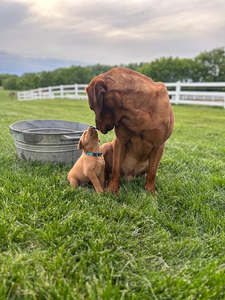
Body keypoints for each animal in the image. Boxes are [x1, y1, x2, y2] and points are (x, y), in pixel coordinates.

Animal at [85, 67, 175, 195]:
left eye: (92, 107)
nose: (96, 126)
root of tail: (129, 176)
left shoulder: (159, 146)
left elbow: (152, 173)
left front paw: (151, 192)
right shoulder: (120, 142)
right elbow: (116, 170)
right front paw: (112, 189)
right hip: (107, 146)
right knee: (107, 170)